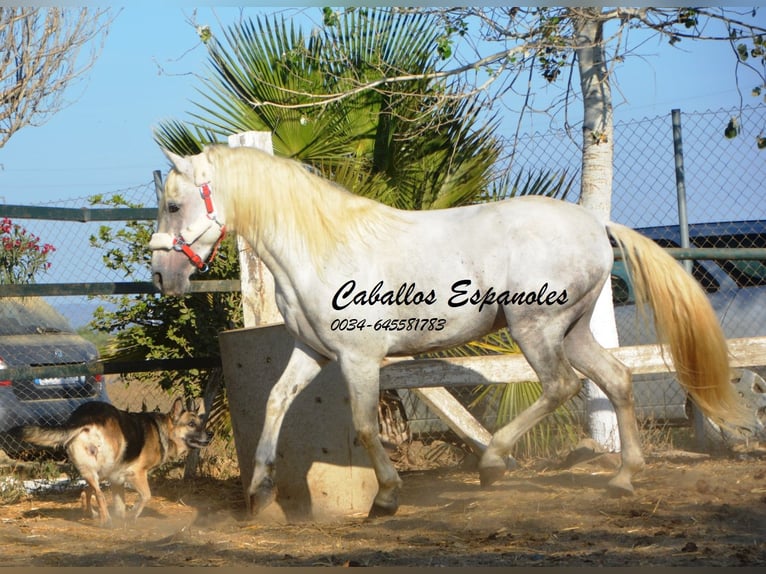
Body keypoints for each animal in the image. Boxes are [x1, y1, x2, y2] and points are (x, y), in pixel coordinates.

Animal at [19, 400, 210, 528]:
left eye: (201, 423)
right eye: (191, 424)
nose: (211, 435)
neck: (162, 429)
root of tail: (86, 418)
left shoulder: (118, 479)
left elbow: (118, 502)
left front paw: (121, 516)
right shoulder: (135, 473)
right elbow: (146, 496)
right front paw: (132, 516)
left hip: (93, 469)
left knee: (90, 490)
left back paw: (95, 514)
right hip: (110, 465)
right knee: (98, 493)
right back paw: (106, 521)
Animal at [152, 146, 752, 520]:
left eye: (174, 204)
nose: (162, 276)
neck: (321, 247)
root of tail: (595, 225)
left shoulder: (358, 359)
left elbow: (365, 426)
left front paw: (386, 499)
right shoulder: (312, 351)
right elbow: (275, 403)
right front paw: (260, 495)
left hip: (536, 329)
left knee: (561, 386)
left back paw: (492, 466)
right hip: (575, 330)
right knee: (619, 379)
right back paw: (624, 477)